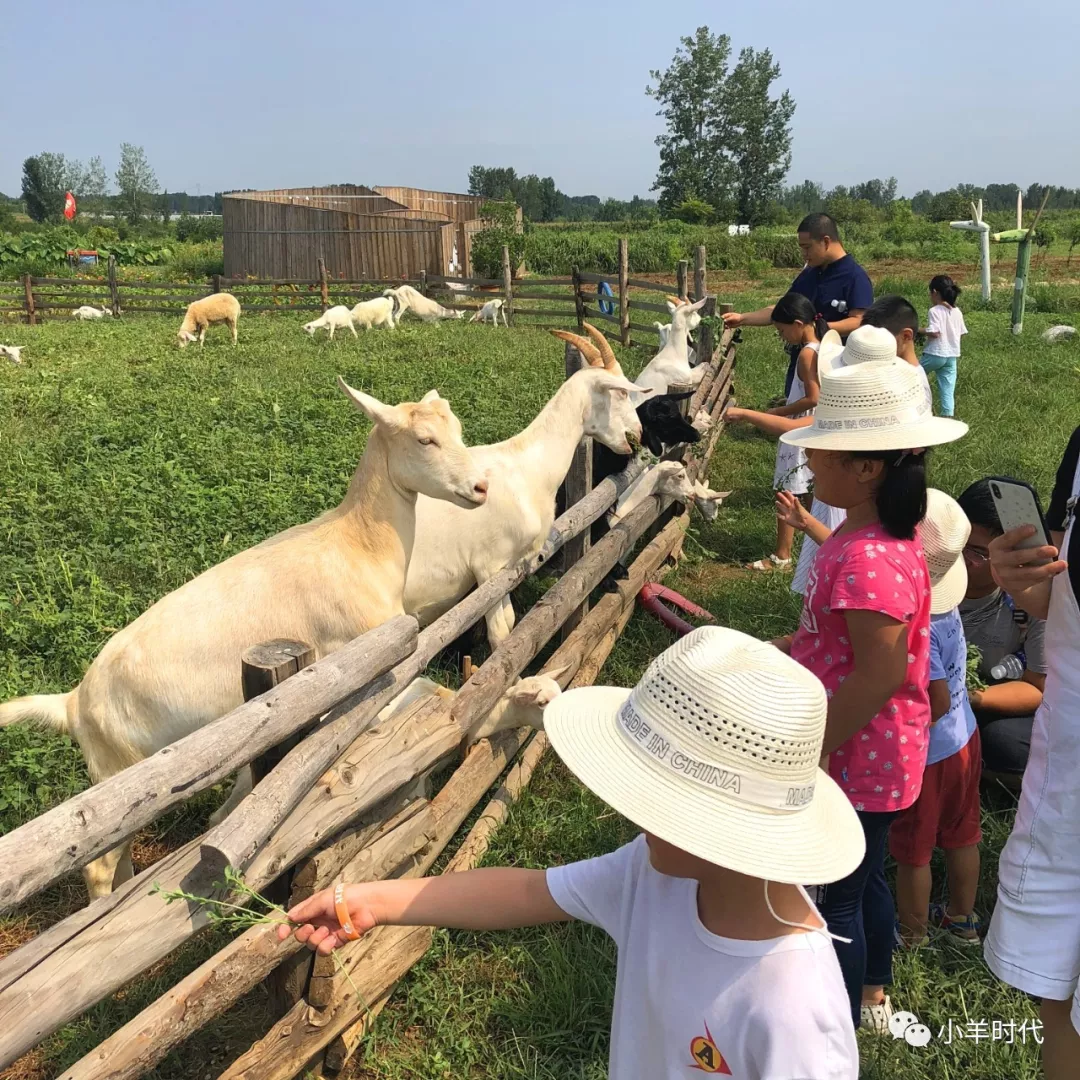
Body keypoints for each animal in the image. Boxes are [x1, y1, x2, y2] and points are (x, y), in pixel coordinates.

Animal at [0, 380, 490, 902]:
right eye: (423, 440)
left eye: (457, 429)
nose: (481, 487)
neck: (358, 546)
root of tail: (73, 703)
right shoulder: (370, 668)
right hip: (114, 777)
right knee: (98, 868)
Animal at [406, 321, 648, 648]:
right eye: (621, 391)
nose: (638, 433)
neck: (524, 469)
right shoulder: (487, 567)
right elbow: (500, 634)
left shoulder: (508, 568)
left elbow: (511, 622)